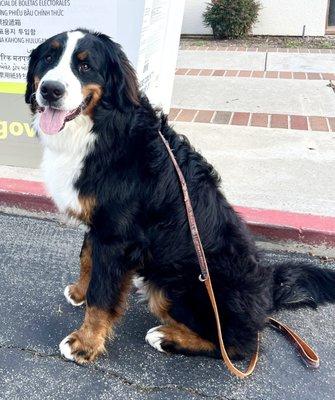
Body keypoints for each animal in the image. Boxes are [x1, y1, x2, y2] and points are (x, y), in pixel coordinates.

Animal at [25, 29, 335, 364]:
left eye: (85, 66)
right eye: (49, 58)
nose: (50, 90)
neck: (102, 130)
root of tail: (267, 290)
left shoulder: (116, 233)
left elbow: (102, 294)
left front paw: (85, 342)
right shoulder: (101, 223)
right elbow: (87, 258)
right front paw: (80, 292)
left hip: (174, 286)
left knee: (238, 345)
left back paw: (167, 337)